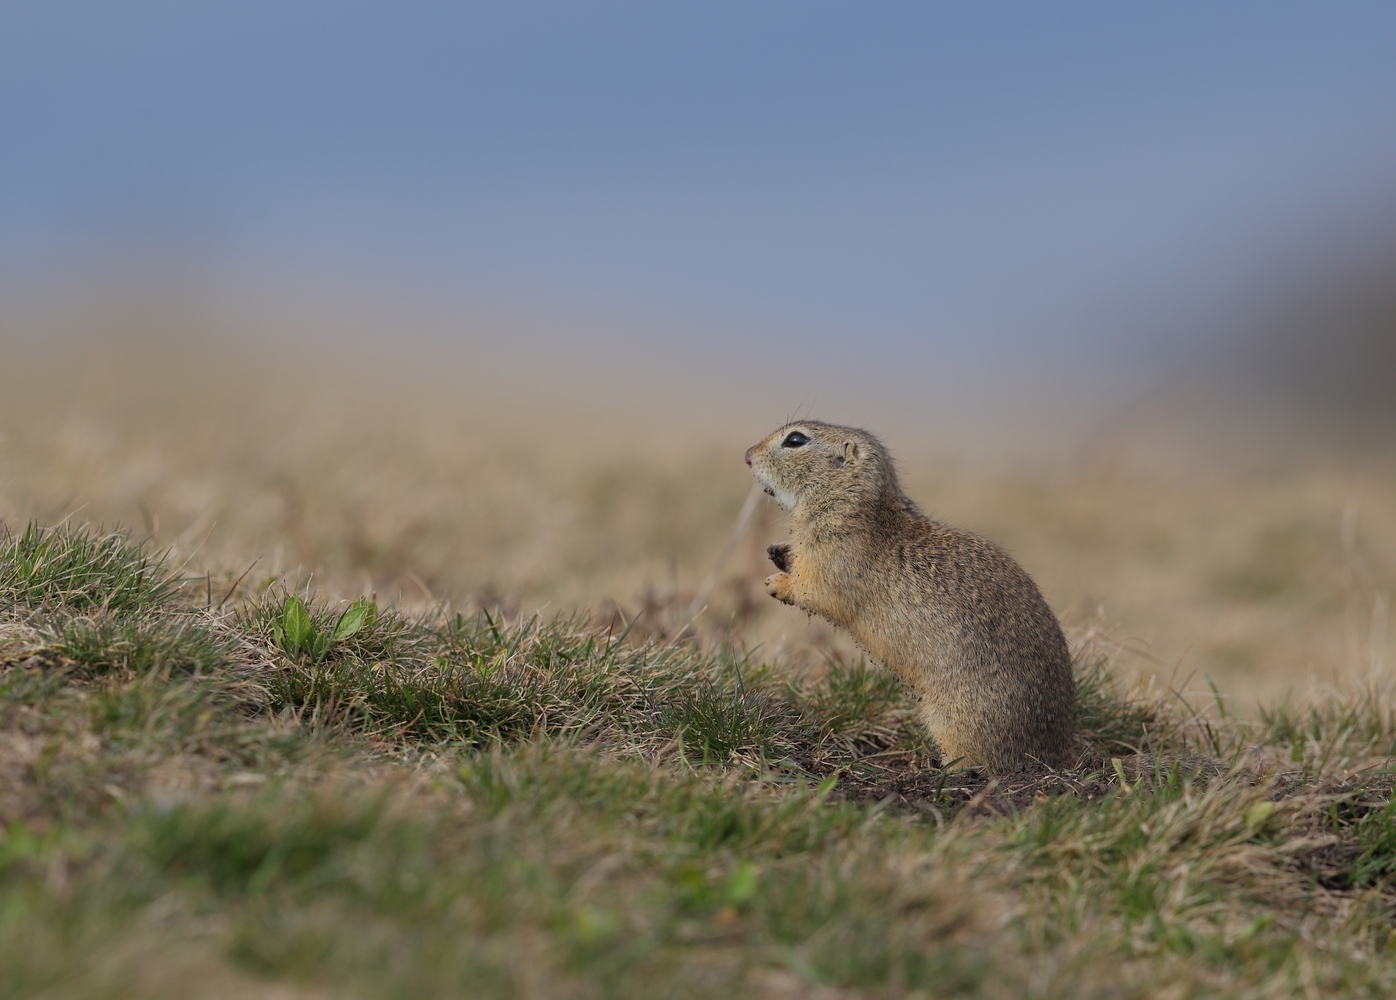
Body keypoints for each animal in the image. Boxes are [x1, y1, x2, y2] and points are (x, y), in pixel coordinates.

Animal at [748, 418, 1072, 770]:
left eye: (795, 440)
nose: (748, 455)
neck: (849, 502)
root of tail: (1051, 754)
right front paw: (778, 551)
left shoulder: (834, 558)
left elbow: (815, 590)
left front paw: (774, 583)